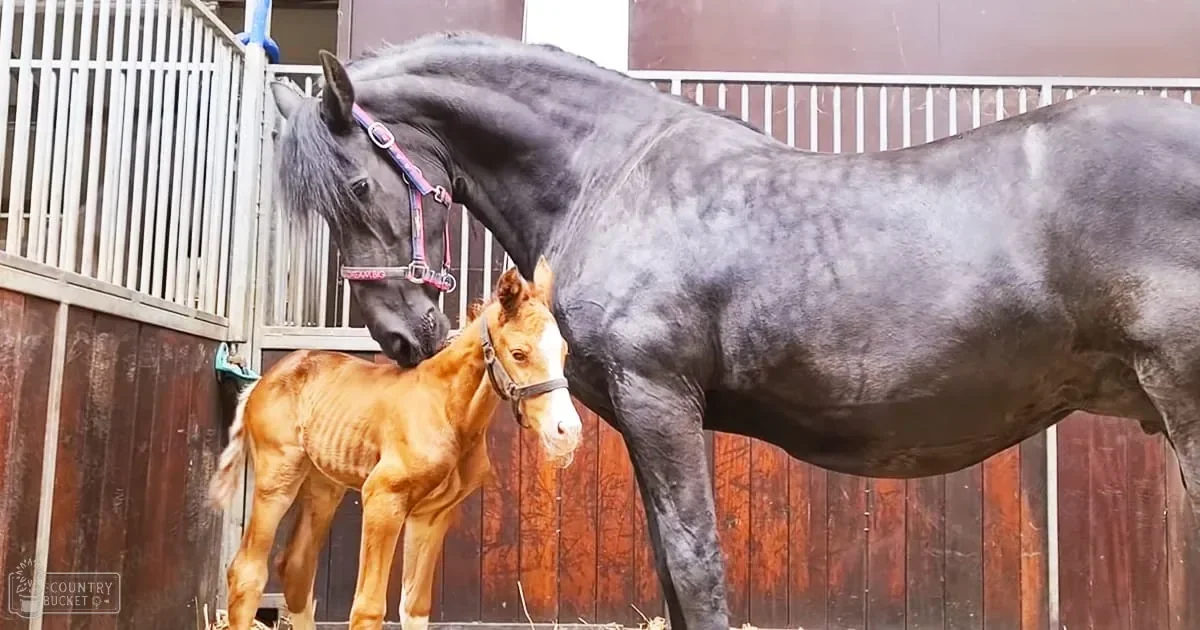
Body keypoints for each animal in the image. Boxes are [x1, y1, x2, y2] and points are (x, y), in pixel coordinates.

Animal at [208, 259, 582, 630]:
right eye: (519, 354)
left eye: (565, 352)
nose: (568, 431)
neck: (446, 409)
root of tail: (260, 382)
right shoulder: (382, 497)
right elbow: (368, 608)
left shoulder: (433, 513)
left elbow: (415, 606)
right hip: (278, 476)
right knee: (246, 572)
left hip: (323, 485)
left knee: (297, 567)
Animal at [267, 32, 1200, 630]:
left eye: (356, 187)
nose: (400, 335)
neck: (612, 172)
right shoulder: (642, 419)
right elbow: (669, 567)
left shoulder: (660, 399)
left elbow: (695, 562)